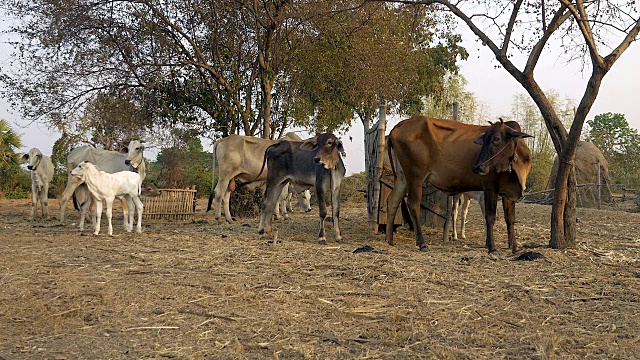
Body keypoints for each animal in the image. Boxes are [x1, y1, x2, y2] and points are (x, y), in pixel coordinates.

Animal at [388, 116, 532, 253]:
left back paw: (389, 240)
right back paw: (422, 243)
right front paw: (491, 247)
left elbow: (510, 219)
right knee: (413, 205)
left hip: (402, 177)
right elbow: (490, 217)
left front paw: (514, 247)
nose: (477, 167)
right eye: (484, 139)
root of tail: (400, 124)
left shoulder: (508, 193)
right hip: (416, 177)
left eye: (496, 138)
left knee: (393, 201)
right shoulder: (490, 188)